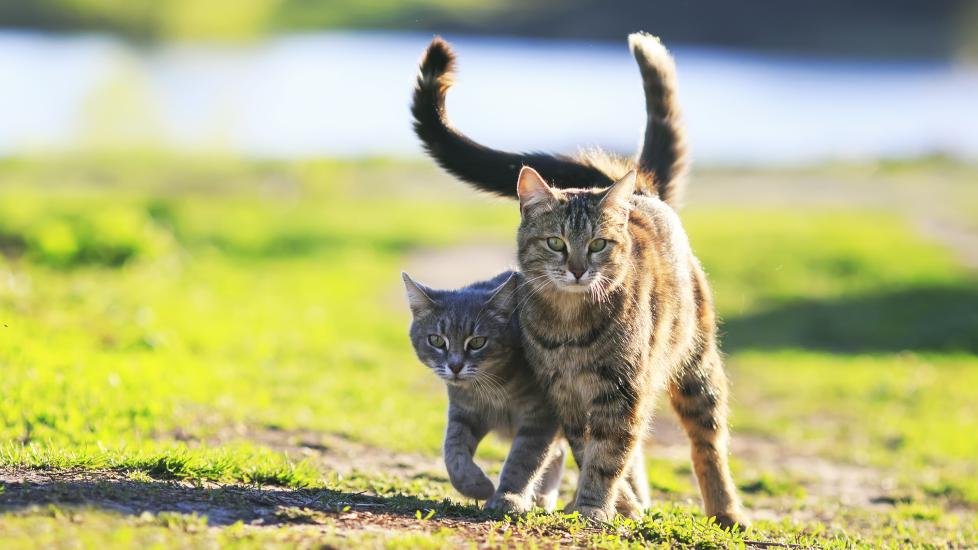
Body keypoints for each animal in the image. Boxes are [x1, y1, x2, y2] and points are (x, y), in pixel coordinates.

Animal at [398, 270, 564, 512]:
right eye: (436, 340)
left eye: (477, 342)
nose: (455, 366)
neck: (492, 389)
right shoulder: (463, 412)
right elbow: (453, 451)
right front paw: (477, 485)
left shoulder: (540, 417)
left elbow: (524, 460)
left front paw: (509, 497)